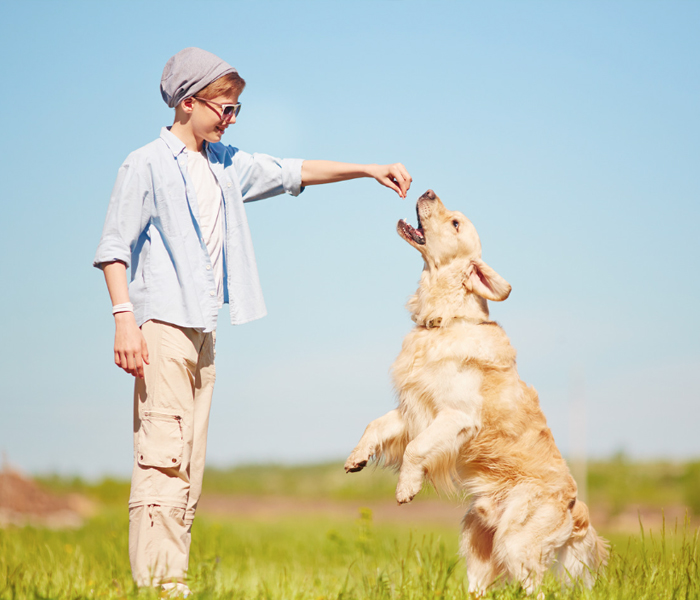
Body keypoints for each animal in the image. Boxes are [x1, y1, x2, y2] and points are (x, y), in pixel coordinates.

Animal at [344, 190, 608, 592]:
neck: (443, 320)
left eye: (455, 223)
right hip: (476, 535)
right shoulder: (414, 409)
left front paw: (406, 488)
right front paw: (357, 457)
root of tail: (577, 510)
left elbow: (417, 449)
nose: (427, 191)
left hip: (516, 542)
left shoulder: (456, 415)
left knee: (536, 588)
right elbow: (375, 425)